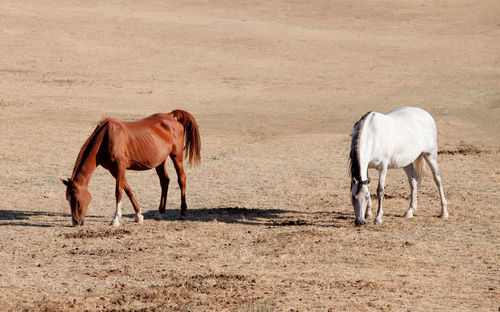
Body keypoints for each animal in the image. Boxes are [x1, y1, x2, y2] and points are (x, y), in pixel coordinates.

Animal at [62, 110, 201, 227]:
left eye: (76, 200)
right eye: (68, 199)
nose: (76, 222)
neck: (105, 138)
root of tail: (170, 115)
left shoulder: (120, 167)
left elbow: (118, 191)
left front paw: (116, 219)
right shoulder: (113, 170)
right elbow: (127, 189)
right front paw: (138, 215)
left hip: (177, 156)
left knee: (181, 180)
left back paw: (183, 214)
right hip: (160, 162)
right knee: (164, 181)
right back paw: (159, 213)